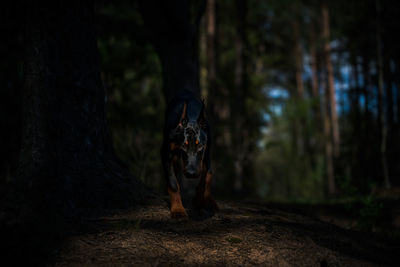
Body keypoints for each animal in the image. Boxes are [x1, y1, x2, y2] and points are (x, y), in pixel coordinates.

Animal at [160, 91, 219, 219]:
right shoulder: (166, 153)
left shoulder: (206, 152)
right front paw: (178, 210)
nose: (191, 174)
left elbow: (207, 178)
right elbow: (173, 183)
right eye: (184, 146)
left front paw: (199, 202)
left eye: (200, 146)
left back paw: (210, 202)